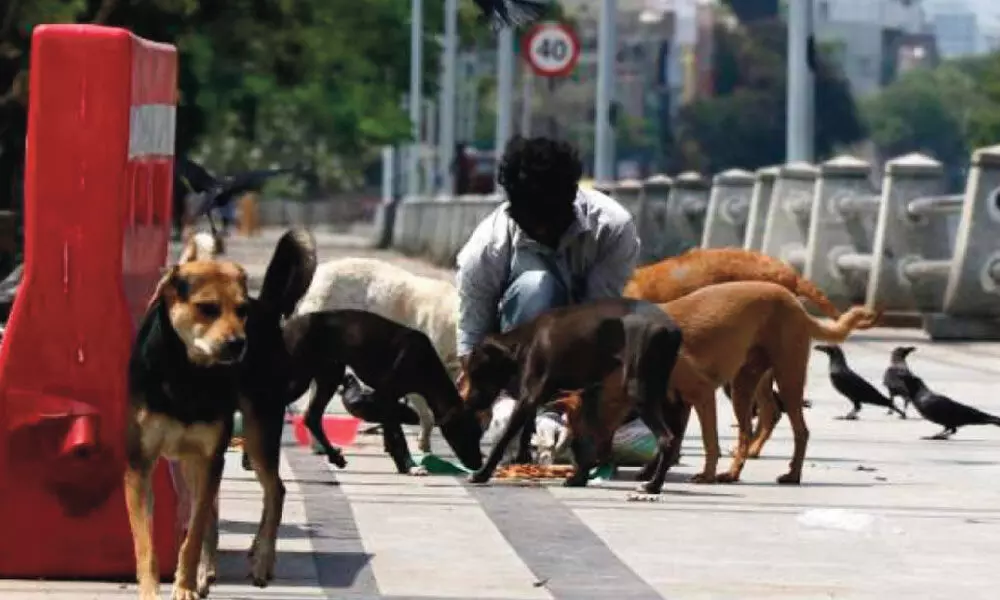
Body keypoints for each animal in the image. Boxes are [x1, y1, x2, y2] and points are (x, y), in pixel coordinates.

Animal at [125, 254, 250, 600]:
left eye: (243, 309)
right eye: (207, 308)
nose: (238, 344)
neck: (186, 373)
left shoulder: (208, 461)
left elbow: (193, 536)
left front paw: (184, 586)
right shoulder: (139, 464)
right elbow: (144, 542)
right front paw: (149, 591)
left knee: (210, 518)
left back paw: (206, 573)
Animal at [462, 298, 684, 494]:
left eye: (475, 372)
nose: (470, 403)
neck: (525, 340)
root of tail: (672, 330)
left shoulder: (529, 398)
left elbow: (503, 439)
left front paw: (482, 473)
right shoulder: (588, 396)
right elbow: (588, 440)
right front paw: (580, 477)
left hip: (638, 392)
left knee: (667, 440)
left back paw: (653, 486)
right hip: (658, 394)